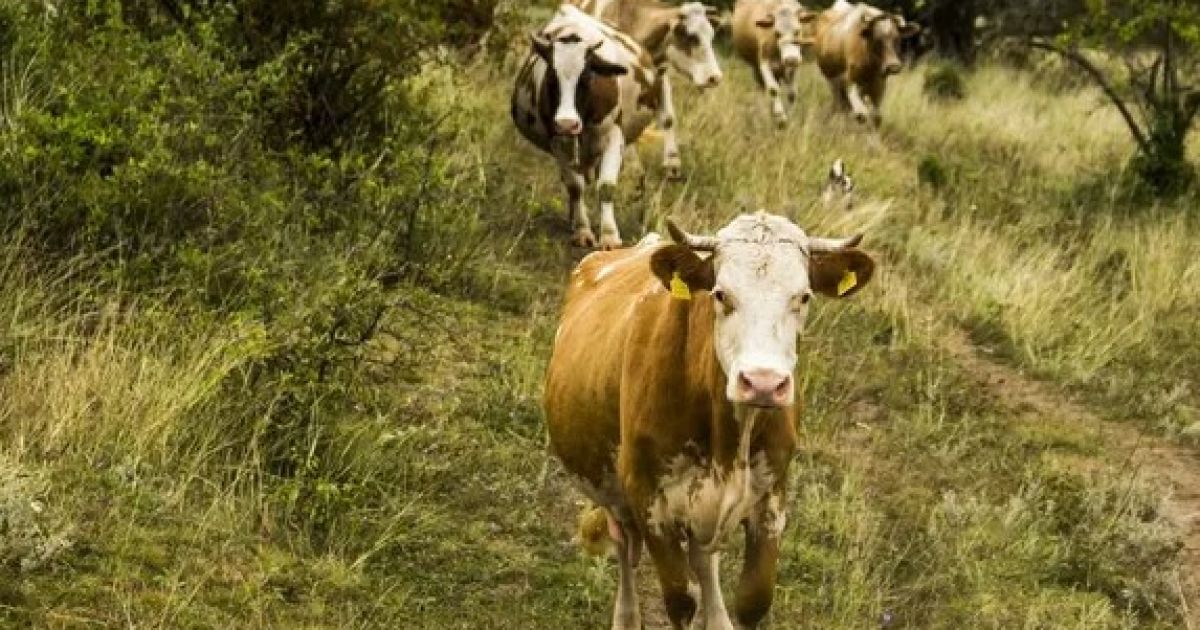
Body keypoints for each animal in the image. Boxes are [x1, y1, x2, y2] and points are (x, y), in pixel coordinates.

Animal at [511, 6, 660, 250]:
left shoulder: (614, 134)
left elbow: (606, 186)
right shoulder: (557, 139)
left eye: (587, 78)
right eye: (551, 78)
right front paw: (582, 231)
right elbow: (575, 186)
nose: (567, 123)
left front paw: (609, 236)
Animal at [544, 211, 876, 629]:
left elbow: (752, 599)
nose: (763, 383)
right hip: (614, 494)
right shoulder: (649, 501)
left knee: (704, 560)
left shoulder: (772, 498)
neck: (728, 443)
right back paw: (626, 616)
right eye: (720, 294)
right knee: (625, 551)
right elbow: (679, 600)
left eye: (803, 297)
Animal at [572, 0, 724, 179]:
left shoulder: (660, 78)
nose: (715, 77)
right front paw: (633, 167)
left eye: (711, 36)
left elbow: (668, 119)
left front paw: (672, 163)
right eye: (691, 37)